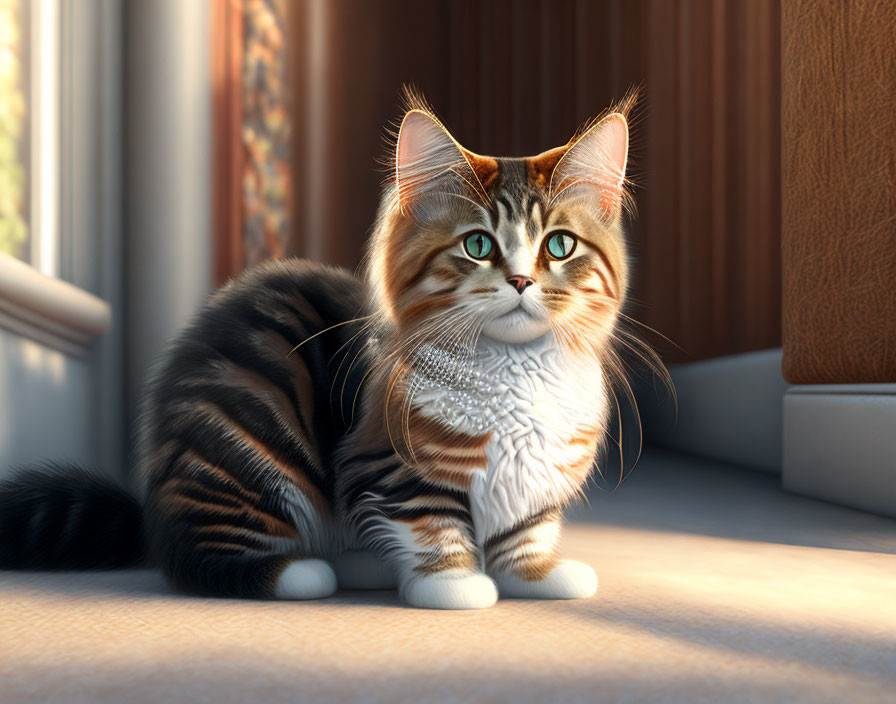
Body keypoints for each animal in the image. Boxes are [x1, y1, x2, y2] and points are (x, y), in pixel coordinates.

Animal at [0, 92, 644, 612]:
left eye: (559, 246)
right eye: (479, 245)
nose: (519, 281)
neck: (520, 376)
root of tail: (152, 503)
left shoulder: (535, 482)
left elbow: (526, 535)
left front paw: (537, 576)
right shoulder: (388, 465)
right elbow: (433, 524)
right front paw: (454, 585)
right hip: (254, 437)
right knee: (196, 555)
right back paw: (302, 573)